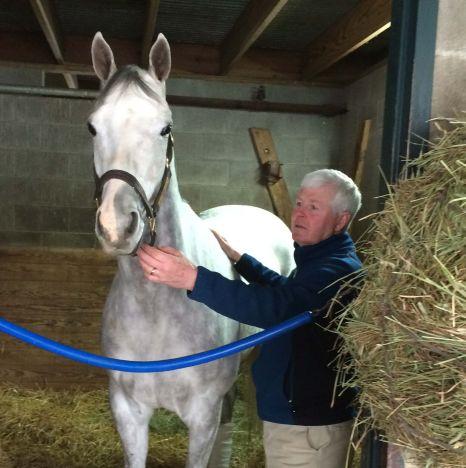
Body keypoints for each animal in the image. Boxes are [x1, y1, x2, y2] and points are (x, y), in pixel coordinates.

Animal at [90, 33, 294, 468]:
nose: (117, 227)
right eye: (93, 127)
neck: (157, 311)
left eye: (165, 128)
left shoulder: (201, 417)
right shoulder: (128, 412)